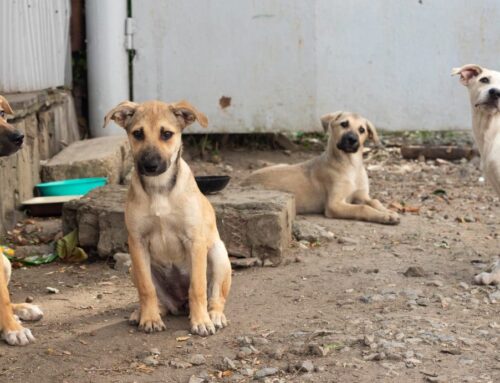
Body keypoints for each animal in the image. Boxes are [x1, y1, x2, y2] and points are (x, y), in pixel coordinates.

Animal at [105, 99, 232, 336]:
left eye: (166, 134)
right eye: (137, 134)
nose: (150, 166)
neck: (159, 189)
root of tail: (180, 304)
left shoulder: (195, 241)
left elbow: (197, 287)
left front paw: (201, 321)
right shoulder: (137, 241)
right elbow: (146, 288)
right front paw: (149, 319)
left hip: (218, 255)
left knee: (215, 297)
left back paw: (214, 315)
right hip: (134, 266)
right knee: (157, 297)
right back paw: (144, 312)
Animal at [242, 111, 398, 225]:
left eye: (362, 130)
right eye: (344, 124)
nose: (352, 139)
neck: (350, 165)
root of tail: (243, 182)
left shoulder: (361, 196)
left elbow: (374, 201)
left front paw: (388, 212)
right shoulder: (334, 205)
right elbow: (362, 208)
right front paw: (384, 216)